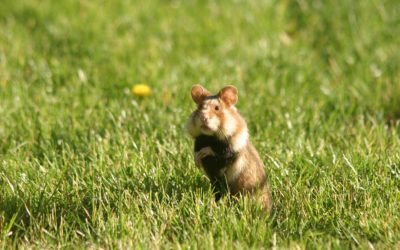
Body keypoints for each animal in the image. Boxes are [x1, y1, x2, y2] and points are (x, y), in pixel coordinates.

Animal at [187, 84, 272, 213]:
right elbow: (197, 152)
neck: (211, 137)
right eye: (200, 107)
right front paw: (197, 162)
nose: (203, 118)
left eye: (217, 108)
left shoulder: (230, 151)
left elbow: (217, 152)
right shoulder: (200, 142)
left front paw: (203, 154)